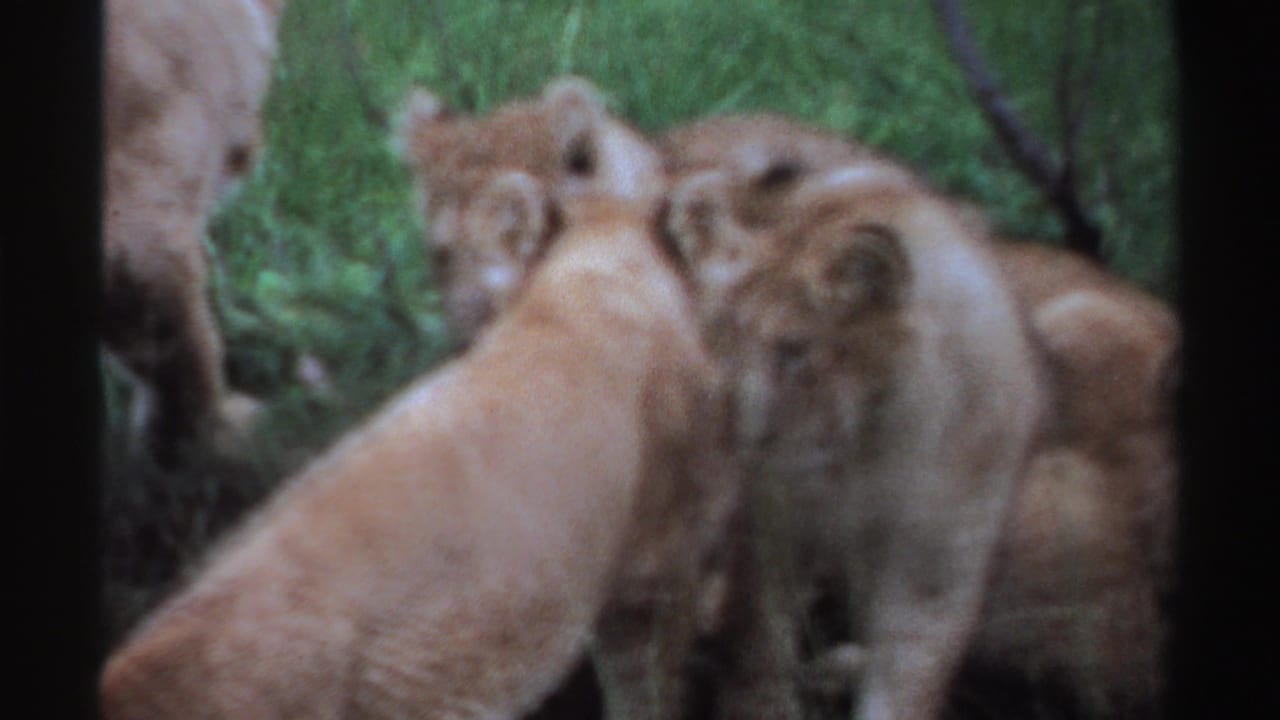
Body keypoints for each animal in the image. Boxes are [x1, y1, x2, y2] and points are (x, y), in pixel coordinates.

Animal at [665, 163, 1044, 720]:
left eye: (793, 350)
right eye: (719, 333)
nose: (724, 414)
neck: (866, 450)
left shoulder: (937, 559)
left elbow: (905, 678)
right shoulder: (771, 527)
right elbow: (759, 649)